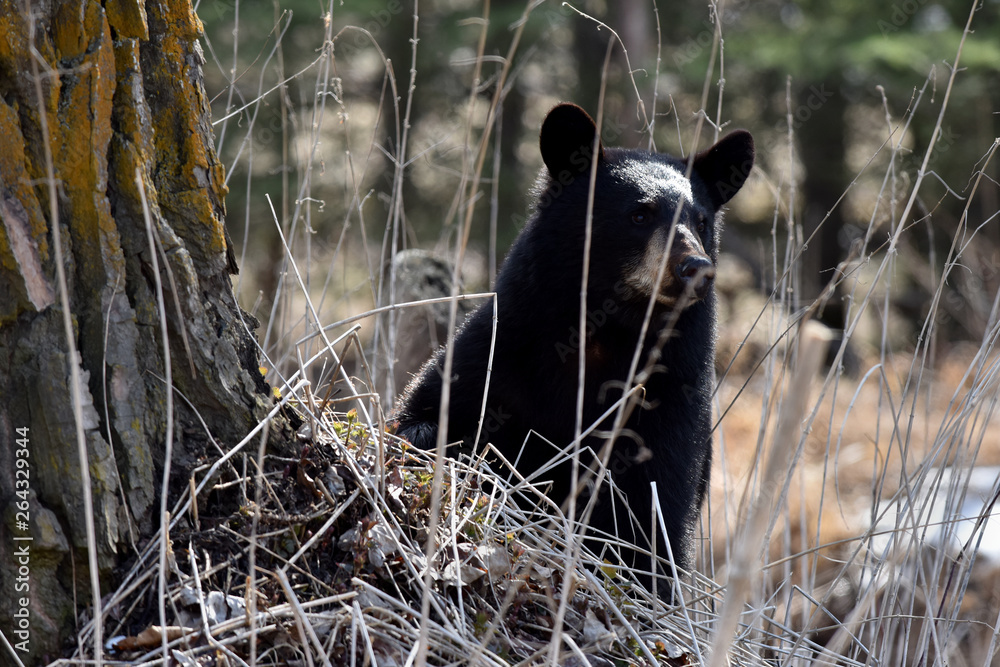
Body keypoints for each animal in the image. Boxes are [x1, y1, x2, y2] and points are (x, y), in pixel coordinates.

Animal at [393, 103, 754, 589]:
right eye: (639, 215)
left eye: (701, 221)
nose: (695, 268)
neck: (606, 331)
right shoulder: (505, 349)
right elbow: (434, 408)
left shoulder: (673, 395)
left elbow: (658, 509)